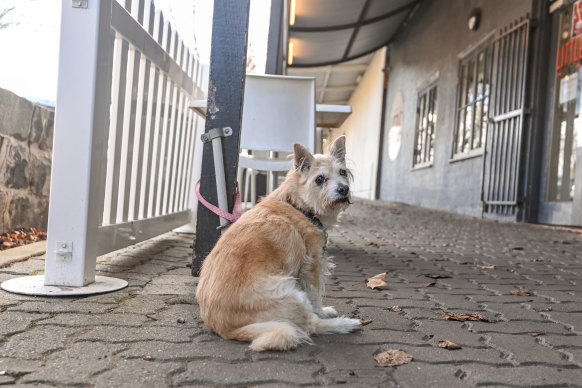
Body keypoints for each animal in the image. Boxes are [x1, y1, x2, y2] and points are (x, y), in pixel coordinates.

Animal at [196, 136, 360, 352]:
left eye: (342, 172)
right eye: (320, 179)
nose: (343, 189)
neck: (299, 206)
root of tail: (224, 329)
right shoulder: (313, 267)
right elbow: (315, 296)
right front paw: (322, 310)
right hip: (289, 292)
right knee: (311, 325)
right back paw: (345, 324)